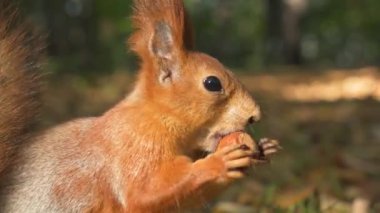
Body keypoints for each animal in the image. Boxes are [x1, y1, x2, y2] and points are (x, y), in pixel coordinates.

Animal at [0, 0, 280, 211]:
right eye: (212, 83)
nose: (255, 116)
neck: (158, 115)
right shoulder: (133, 145)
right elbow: (145, 190)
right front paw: (220, 162)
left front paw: (264, 148)